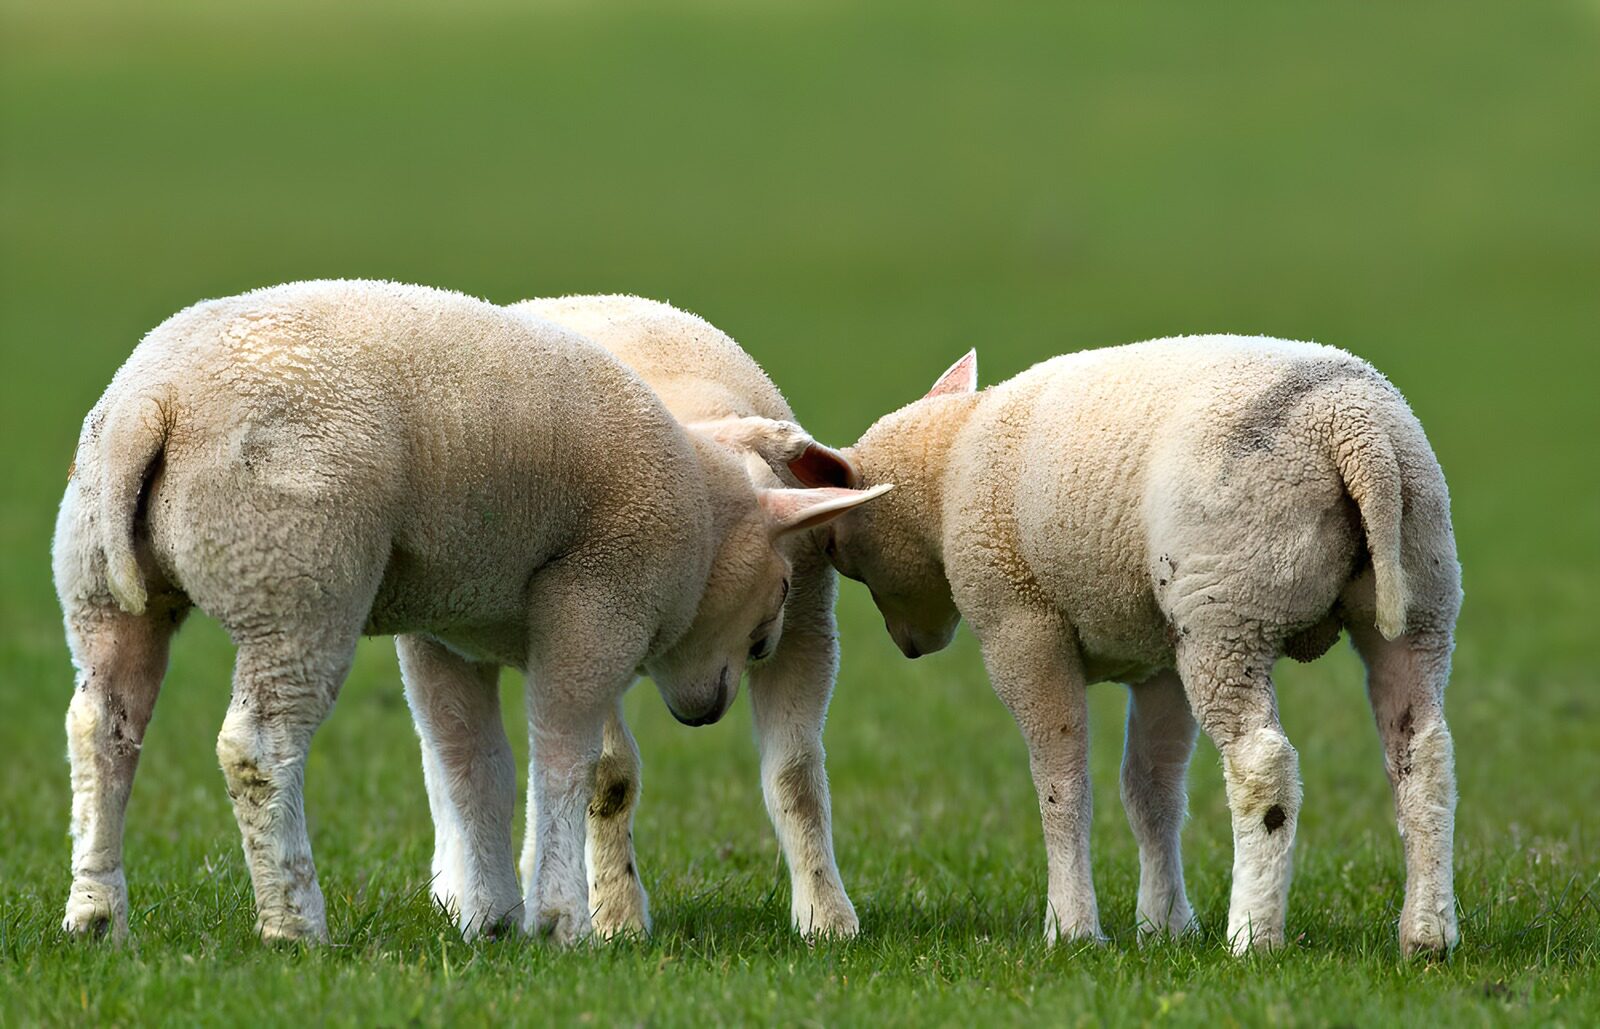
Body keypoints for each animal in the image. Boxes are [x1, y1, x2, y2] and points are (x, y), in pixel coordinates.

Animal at [52, 280, 889, 945]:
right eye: (777, 587)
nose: (707, 708)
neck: (704, 507)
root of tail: (152, 406)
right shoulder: (598, 602)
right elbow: (567, 760)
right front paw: (561, 919)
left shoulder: (447, 625)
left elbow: (472, 763)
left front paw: (492, 917)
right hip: (295, 579)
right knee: (258, 748)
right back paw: (294, 923)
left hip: (99, 579)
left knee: (102, 729)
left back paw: (96, 915)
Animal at [811, 338, 1462, 956]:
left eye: (840, 554)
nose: (909, 647)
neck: (946, 473)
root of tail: (1355, 431)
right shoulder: (1160, 661)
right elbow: (1151, 790)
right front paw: (1165, 924)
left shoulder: (1020, 625)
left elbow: (1061, 783)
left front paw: (1071, 928)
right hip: (1419, 591)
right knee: (1423, 756)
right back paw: (1427, 933)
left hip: (1228, 609)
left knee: (1263, 765)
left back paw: (1253, 935)